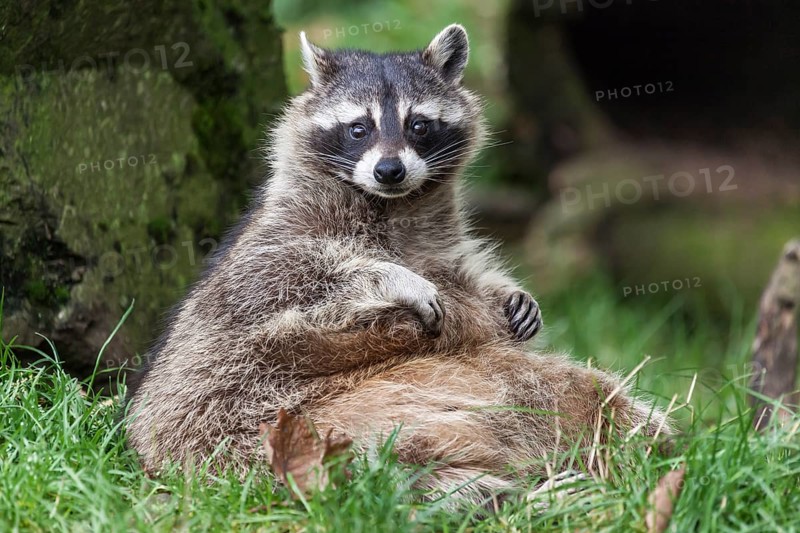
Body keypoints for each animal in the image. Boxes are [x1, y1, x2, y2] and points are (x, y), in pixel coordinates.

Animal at [126, 24, 669, 502]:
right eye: (358, 128)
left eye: (419, 125)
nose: (390, 169)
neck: (392, 205)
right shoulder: (276, 238)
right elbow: (282, 276)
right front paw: (390, 276)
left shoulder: (439, 245)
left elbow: (468, 280)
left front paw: (508, 292)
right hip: (258, 428)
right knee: (366, 465)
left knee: (582, 392)